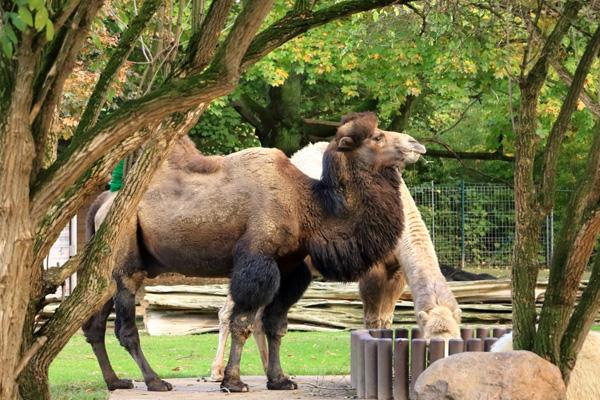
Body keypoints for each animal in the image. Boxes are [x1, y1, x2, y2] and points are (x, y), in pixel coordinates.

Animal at [83, 111, 426, 392]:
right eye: (377, 137)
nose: (417, 144)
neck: (309, 207)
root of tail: (102, 205)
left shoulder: (290, 269)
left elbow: (276, 325)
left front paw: (280, 379)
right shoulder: (258, 262)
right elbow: (243, 322)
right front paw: (233, 382)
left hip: (109, 269)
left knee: (95, 322)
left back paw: (115, 381)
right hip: (127, 258)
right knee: (125, 326)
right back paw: (155, 381)